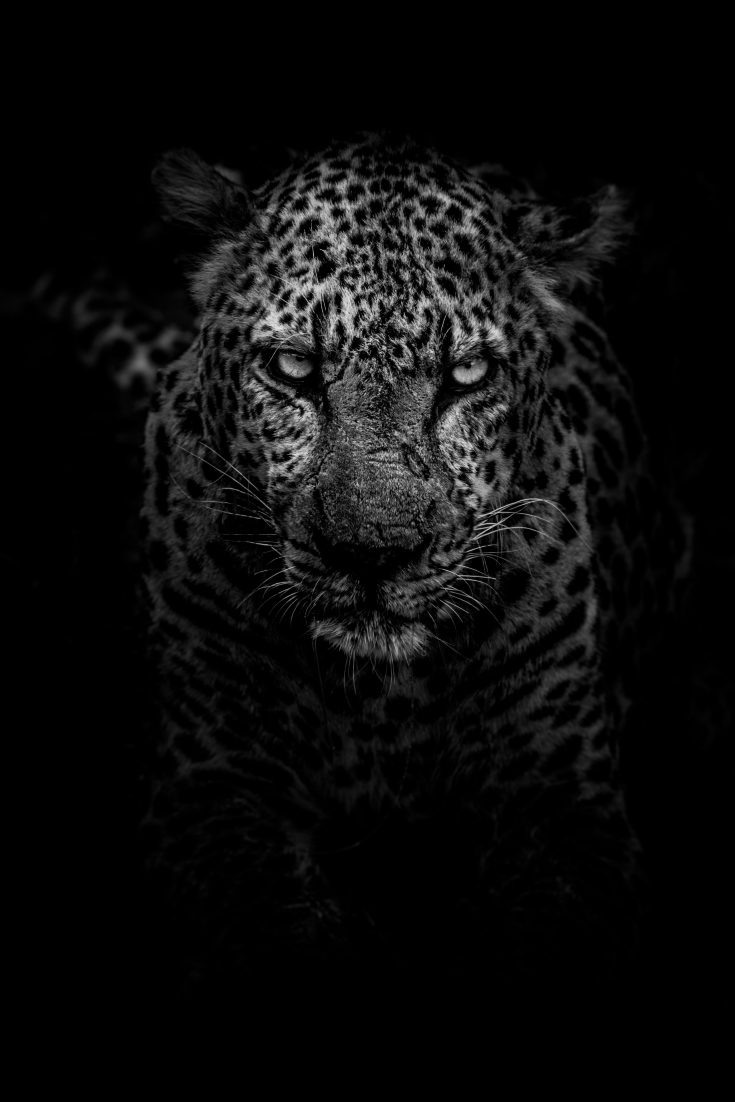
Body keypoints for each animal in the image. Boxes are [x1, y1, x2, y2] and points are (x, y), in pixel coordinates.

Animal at [123, 132, 694, 1011]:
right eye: (292, 368)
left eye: (466, 376)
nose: (372, 551)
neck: (378, 699)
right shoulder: (210, 792)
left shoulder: (564, 808)